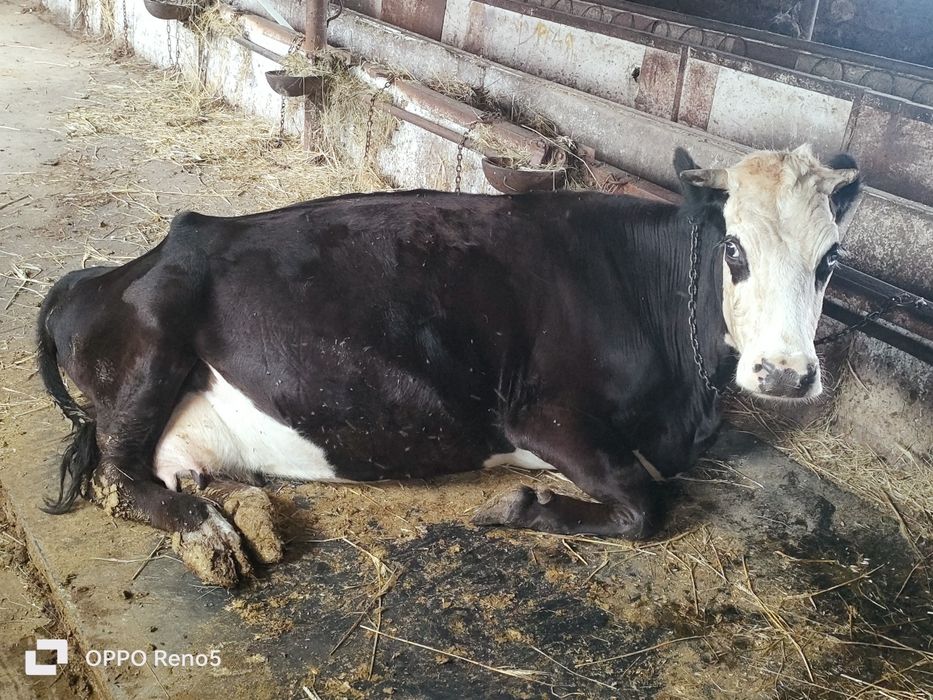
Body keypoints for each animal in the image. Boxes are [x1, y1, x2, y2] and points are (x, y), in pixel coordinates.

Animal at [36, 145, 860, 586]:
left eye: (830, 259)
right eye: (734, 249)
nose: (784, 374)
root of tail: (107, 271)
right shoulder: (539, 415)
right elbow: (646, 502)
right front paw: (521, 506)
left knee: (169, 469)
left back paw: (243, 521)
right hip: (151, 347)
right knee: (119, 475)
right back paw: (210, 535)